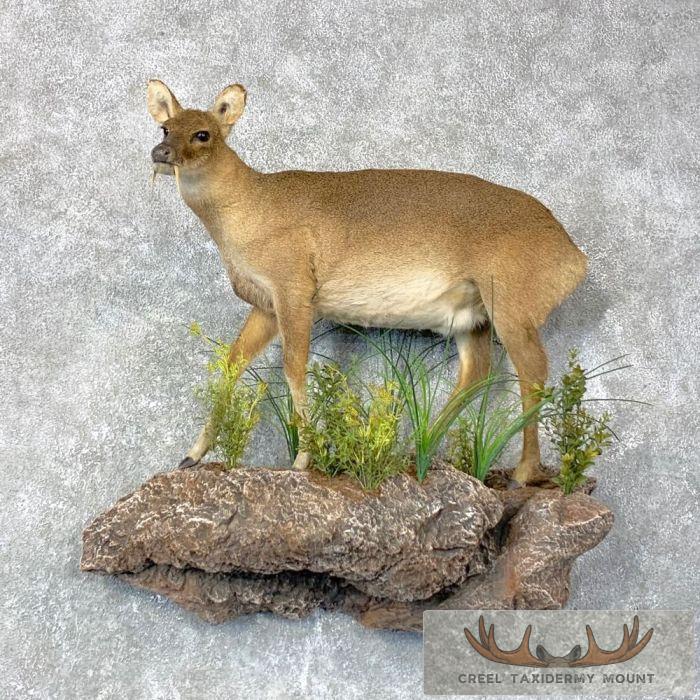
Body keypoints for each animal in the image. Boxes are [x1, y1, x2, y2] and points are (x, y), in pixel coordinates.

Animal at [146, 79, 588, 485]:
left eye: (203, 133)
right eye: (165, 128)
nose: (160, 153)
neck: (249, 212)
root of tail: (575, 259)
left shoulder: (295, 287)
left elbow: (294, 367)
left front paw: (302, 459)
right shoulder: (265, 304)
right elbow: (231, 364)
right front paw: (191, 455)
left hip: (513, 302)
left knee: (533, 371)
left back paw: (522, 473)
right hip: (473, 317)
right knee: (478, 373)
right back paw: (415, 453)